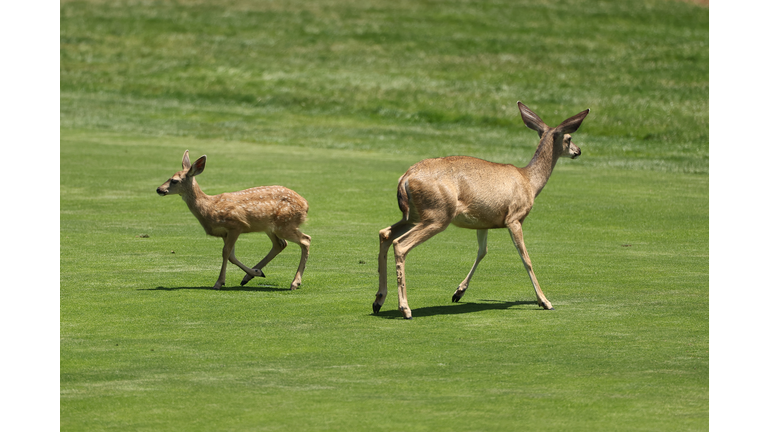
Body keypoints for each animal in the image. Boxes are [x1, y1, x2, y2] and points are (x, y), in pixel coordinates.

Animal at [156, 151, 312, 290]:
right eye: (169, 177)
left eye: (174, 181)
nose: (159, 189)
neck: (209, 208)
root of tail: (306, 205)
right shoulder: (225, 233)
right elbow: (231, 256)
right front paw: (256, 272)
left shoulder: (236, 225)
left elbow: (226, 252)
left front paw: (219, 283)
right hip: (270, 227)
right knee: (280, 244)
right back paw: (249, 276)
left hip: (285, 224)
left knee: (305, 240)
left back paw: (295, 283)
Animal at [376, 101, 592, 318]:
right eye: (569, 138)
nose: (578, 150)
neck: (529, 182)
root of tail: (405, 178)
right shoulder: (514, 218)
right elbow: (526, 258)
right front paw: (545, 301)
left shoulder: (483, 221)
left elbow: (482, 251)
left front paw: (458, 292)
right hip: (437, 214)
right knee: (400, 244)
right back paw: (405, 308)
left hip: (413, 215)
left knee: (384, 234)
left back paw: (378, 301)